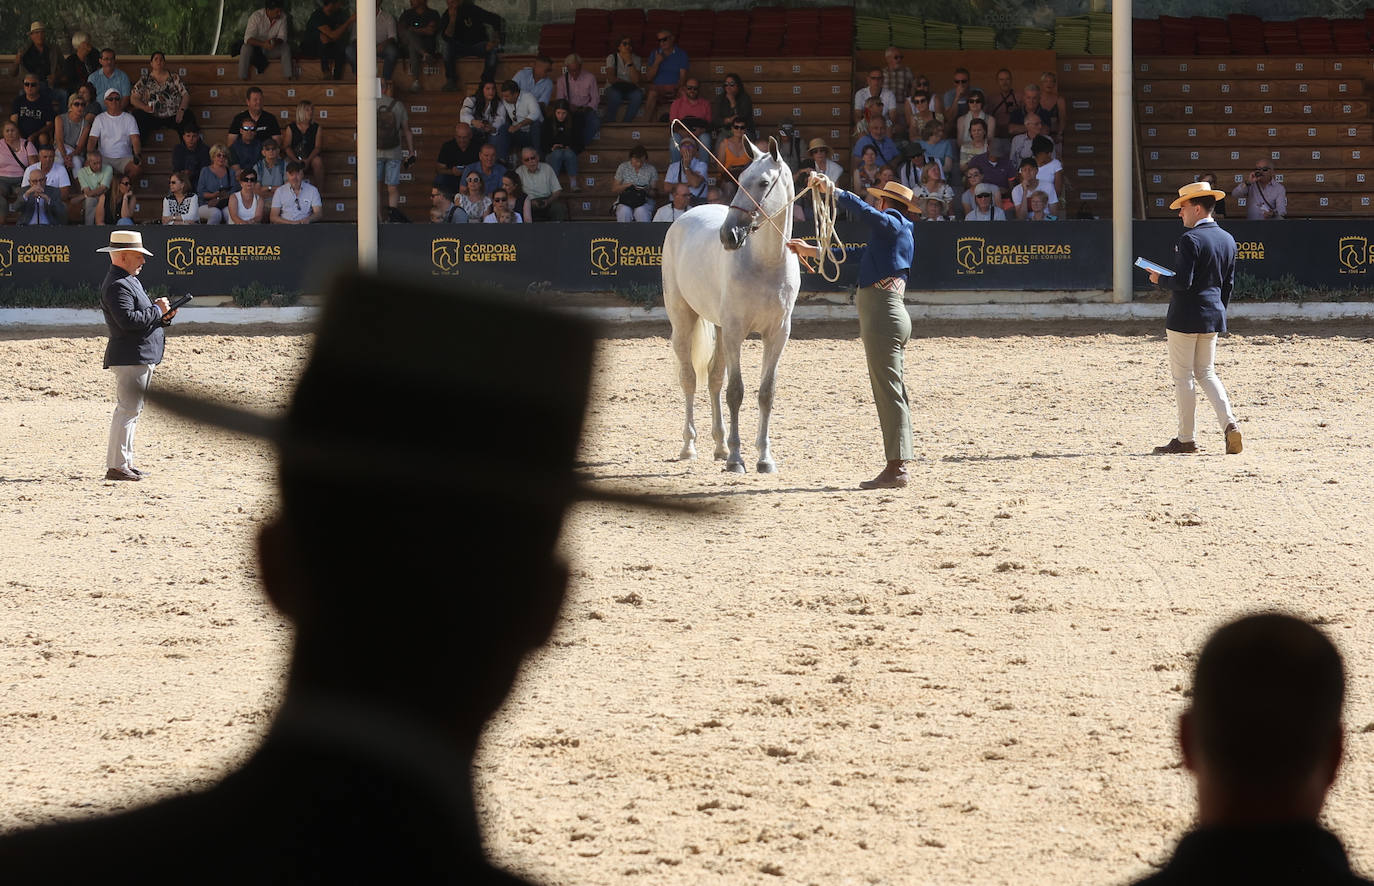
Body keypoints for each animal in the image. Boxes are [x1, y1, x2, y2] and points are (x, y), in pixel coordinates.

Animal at [662, 136, 798, 474]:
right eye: (740, 180)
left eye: (763, 182)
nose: (729, 235)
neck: (766, 263)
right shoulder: (737, 332)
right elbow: (735, 392)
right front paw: (738, 459)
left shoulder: (777, 334)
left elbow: (766, 393)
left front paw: (764, 458)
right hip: (683, 321)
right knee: (689, 379)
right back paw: (690, 447)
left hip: (721, 330)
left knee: (713, 379)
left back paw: (720, 446)